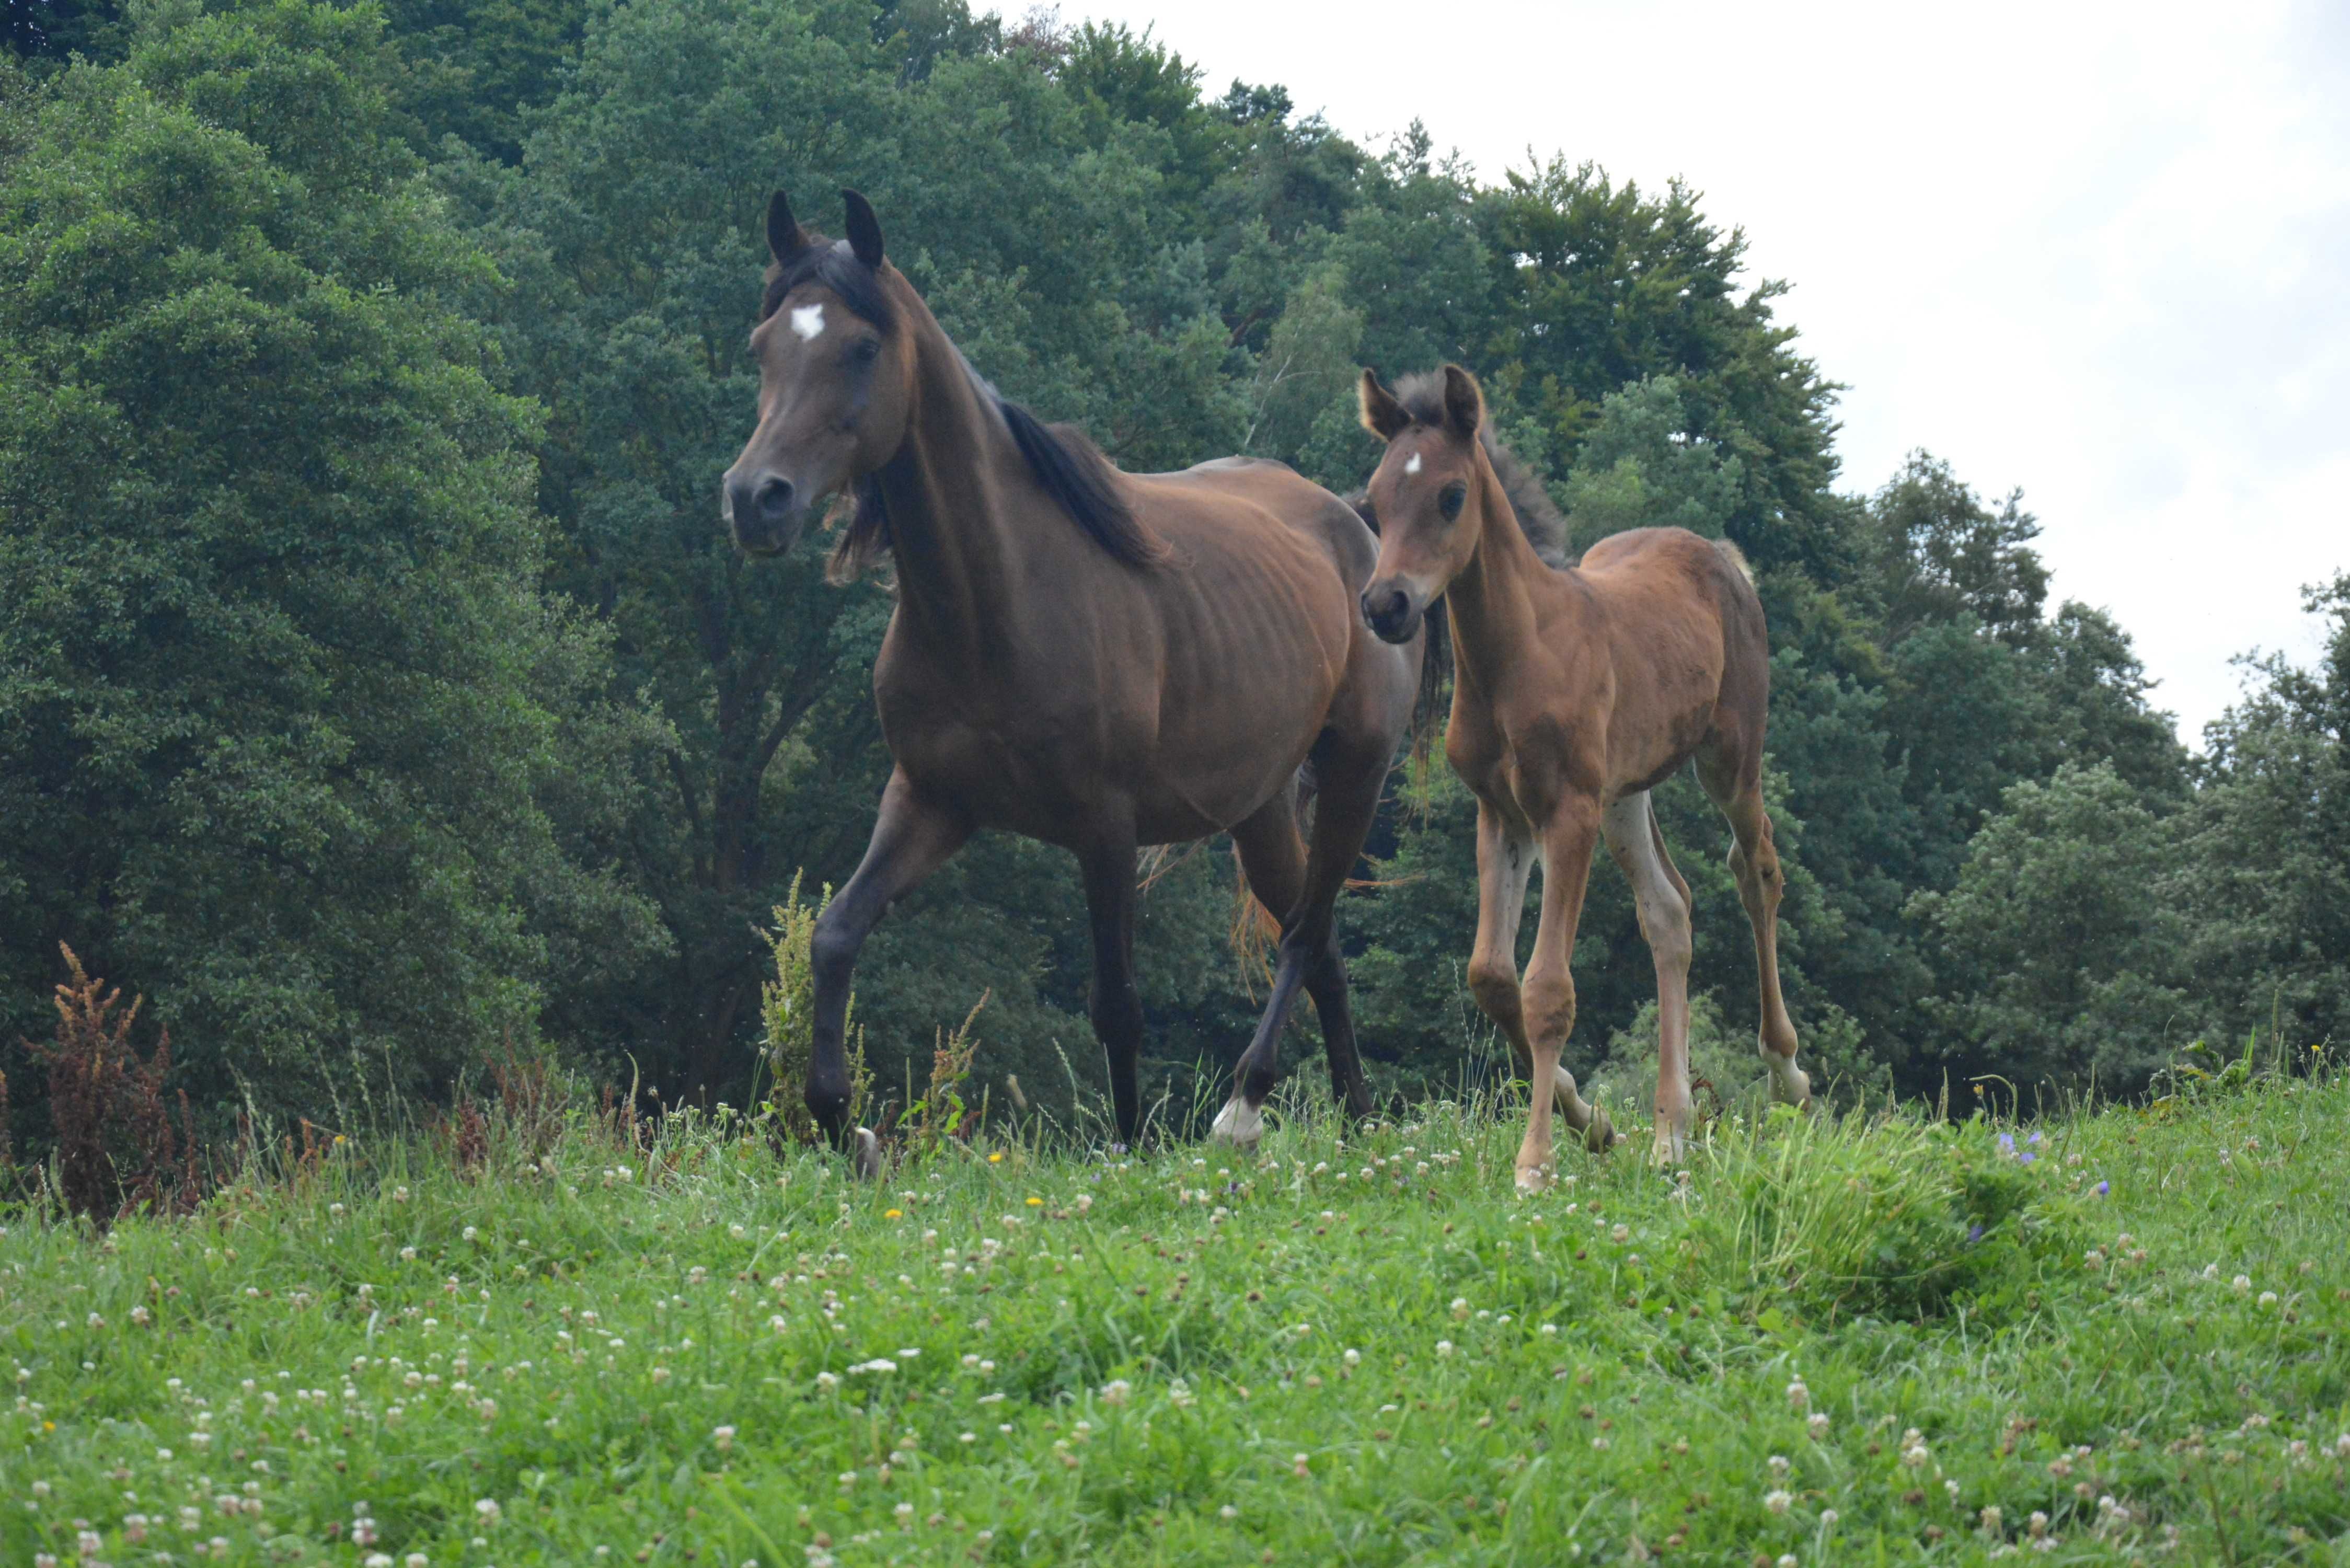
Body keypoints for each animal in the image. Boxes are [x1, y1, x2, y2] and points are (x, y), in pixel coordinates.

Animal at [714, 190, 1410, 1170]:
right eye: (762, 345)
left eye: (861, 348)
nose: (755, 499)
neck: (997, 603)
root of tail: (1352, 526)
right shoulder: (931, 800)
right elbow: (835, 935)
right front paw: (842, 1125)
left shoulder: (1104, 825)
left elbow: (1116, 1003)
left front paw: (1128, 1148)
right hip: (1262, 809)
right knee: (1325, 952)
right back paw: (1356, 1118)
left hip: (1356, 772)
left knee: (1306, 937)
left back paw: (1245, 1104)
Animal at [1353, 369, 1804, 1175]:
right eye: (1375, 498)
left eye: (1451, 495)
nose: (1386, 605)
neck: (1518, 656)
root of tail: (1720, 554)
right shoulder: (1502, 815)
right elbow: (1491, 976)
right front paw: (1591, 1123)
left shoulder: (1566, 814)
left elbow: (1548, 990)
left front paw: (1534, 1163)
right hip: (1624, 796)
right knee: (1669, 911)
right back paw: (1671, 1130)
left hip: (1728, 759)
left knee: (1756, 870)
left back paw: (1788, 1075)